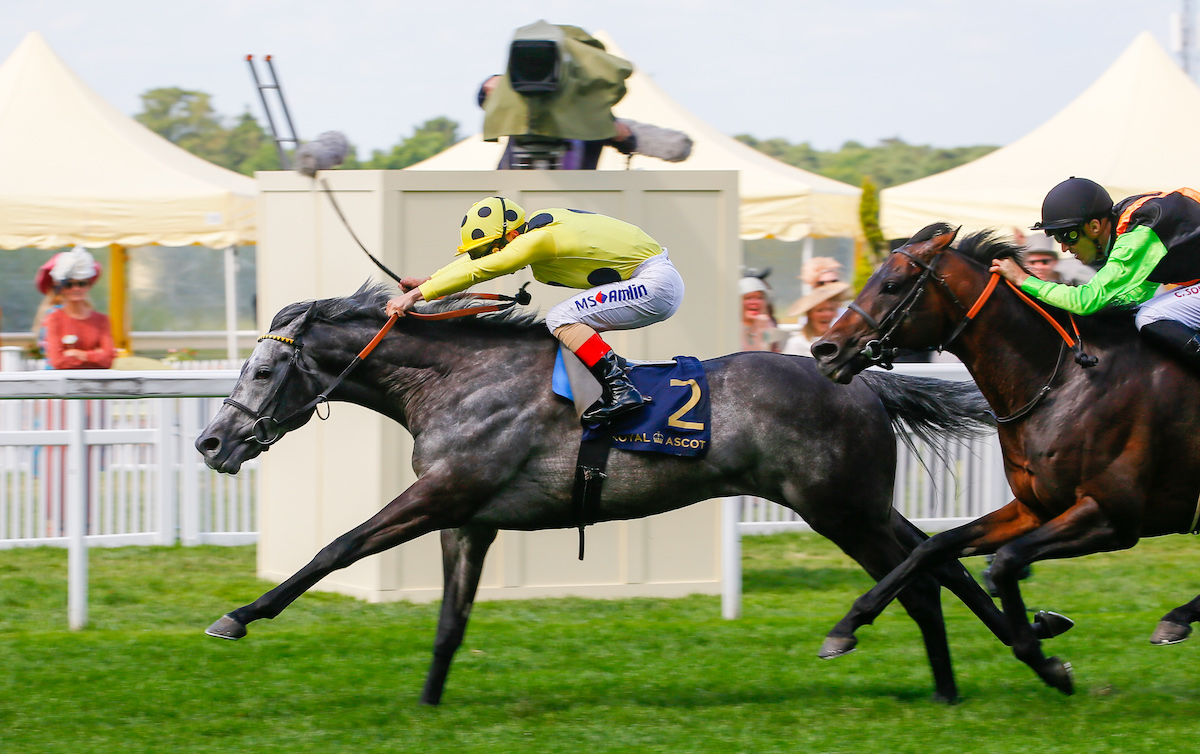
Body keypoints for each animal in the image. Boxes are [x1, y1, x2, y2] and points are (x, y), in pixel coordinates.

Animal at [194, 284, 1070, 705]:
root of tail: (860, 379)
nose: (212, 443)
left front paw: (237, 615)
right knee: (939, 560)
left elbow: (335, 548)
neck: (457, 379)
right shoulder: (468, 518)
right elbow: (449, 623)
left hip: (835, 506)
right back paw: (1031, 659)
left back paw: (945, 678)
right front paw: (428, 705)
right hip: (858, 501)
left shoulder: (443, 494)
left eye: (264, 371)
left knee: (920, 579)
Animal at [811, 222, 1195, 696]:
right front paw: (847, 626)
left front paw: (1044, 659)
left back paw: (1176, 619)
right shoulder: (1033, 509)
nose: (825, 350)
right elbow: (934, 548)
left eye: (891, 285)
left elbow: (1008, 562)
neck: (1062, 380)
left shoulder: (1112, 517)